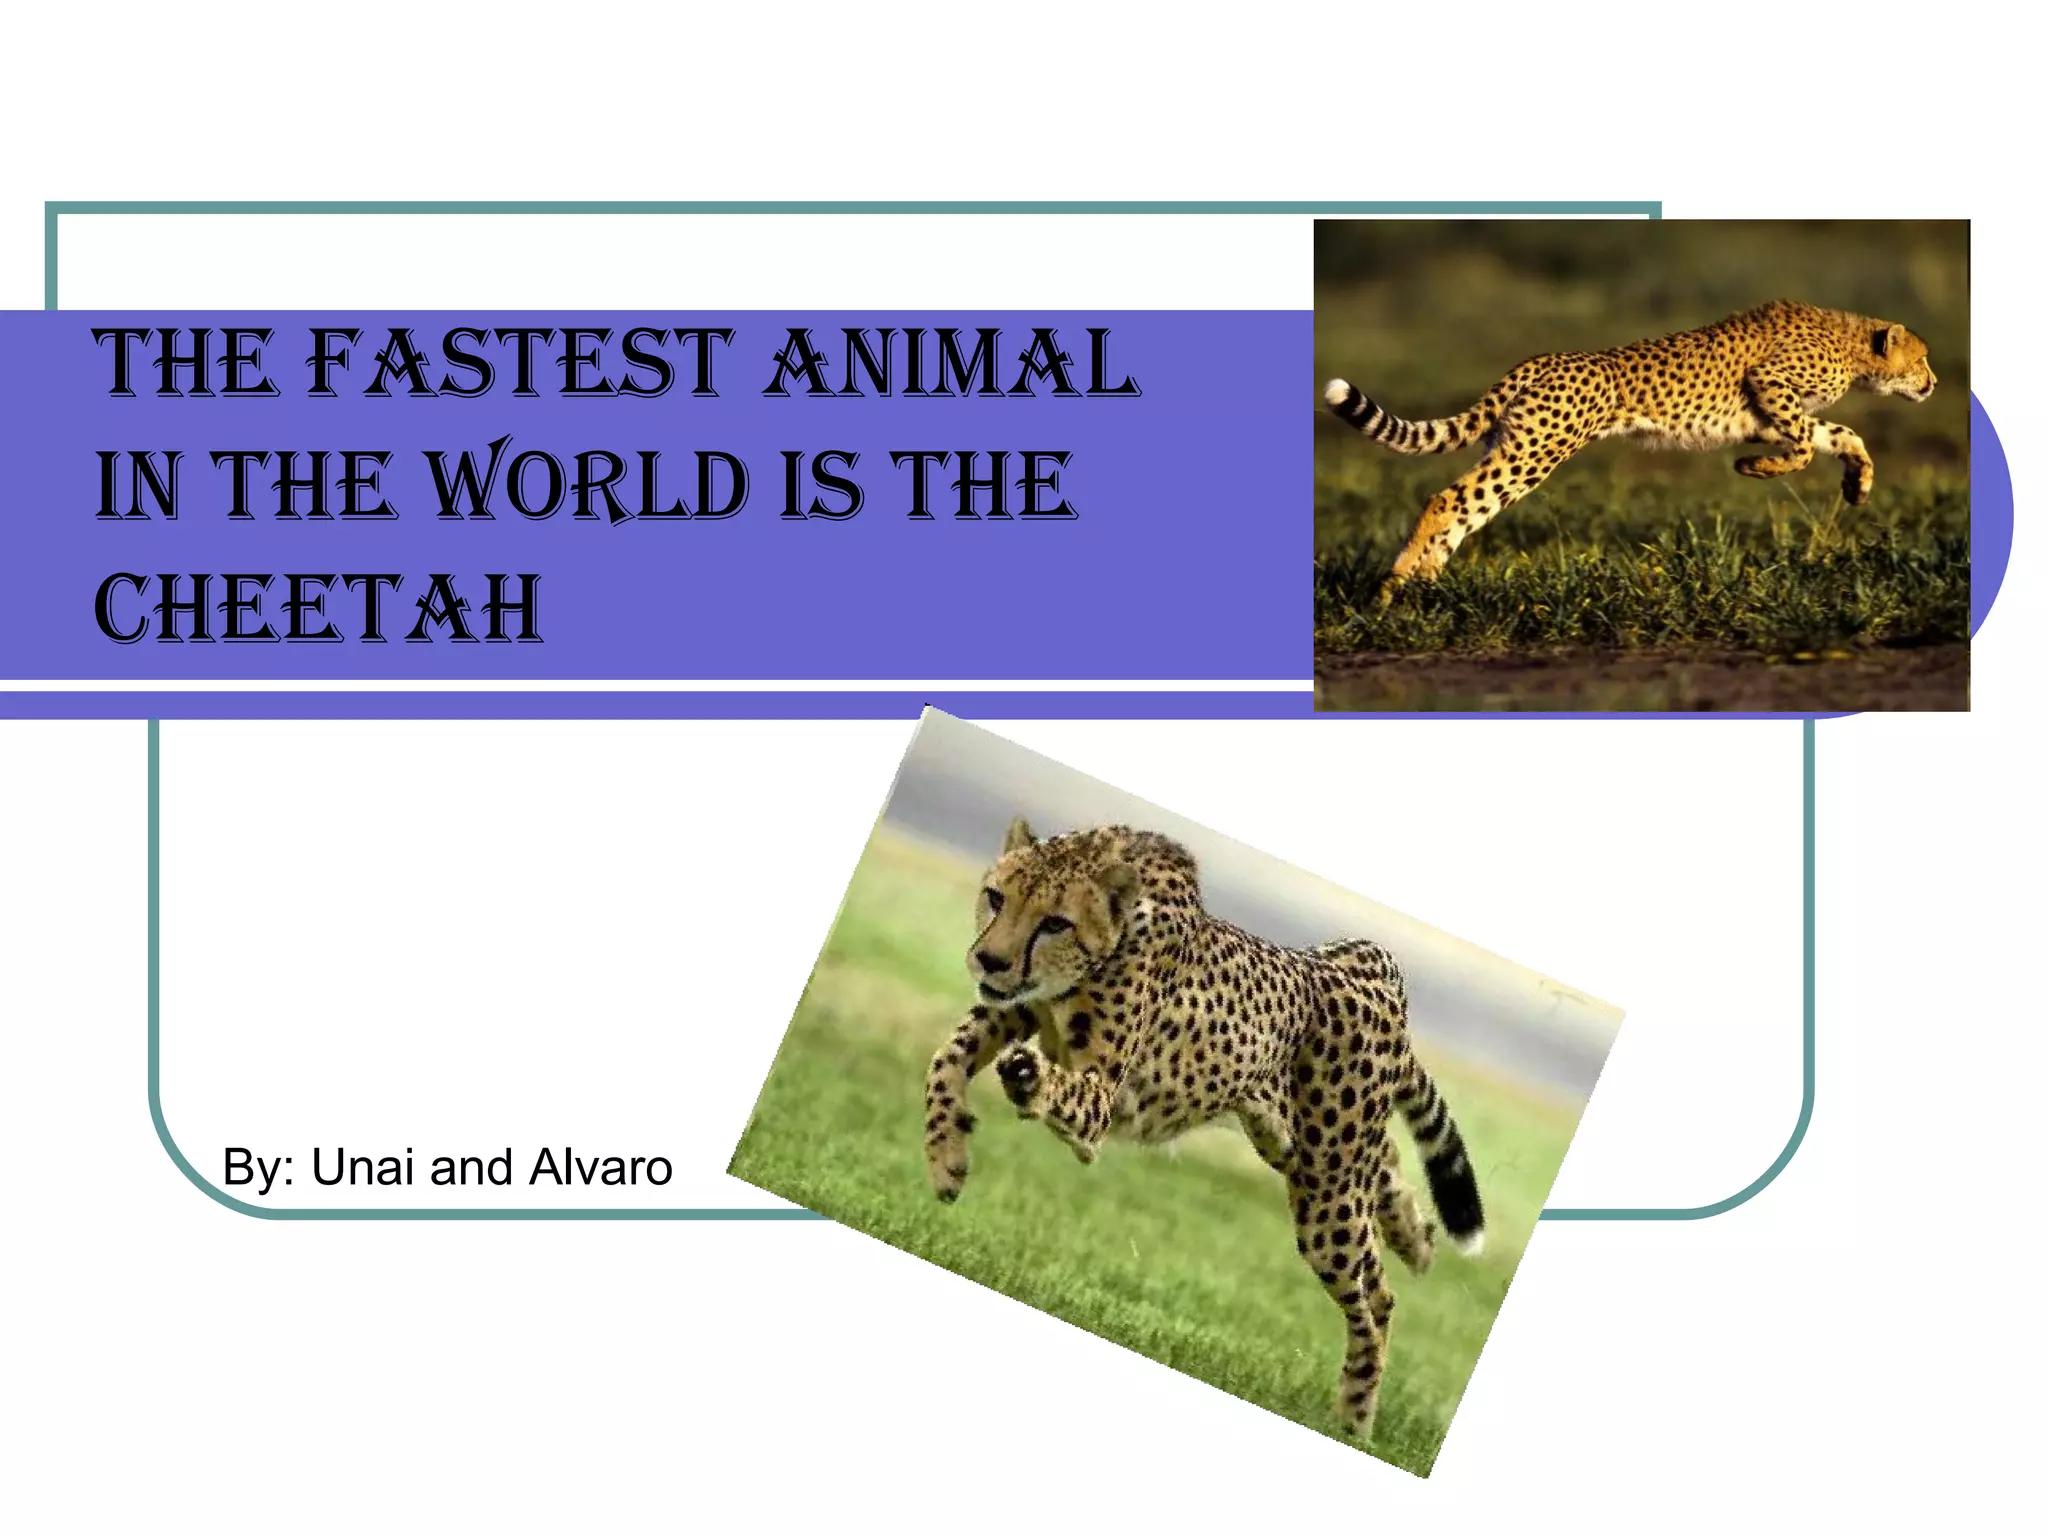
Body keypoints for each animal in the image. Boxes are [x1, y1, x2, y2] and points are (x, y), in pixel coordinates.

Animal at [921, 817, 1484, 1442]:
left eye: (1056, 923)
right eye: (997, 898)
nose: (990, 960)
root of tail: (1367, 964)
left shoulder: (1101, 1098)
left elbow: (1059, 1088)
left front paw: (1025, 1078)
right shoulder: (1007, 1010)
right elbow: (944, 1061)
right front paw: (946, 1159)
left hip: (1328, 1202)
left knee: (1376, 1297)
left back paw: (1356, 1414)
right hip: (1309, 1152)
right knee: (1385, 1181)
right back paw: (1418, 1239)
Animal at [1322, 300, 1940, 605]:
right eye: (1923, 358)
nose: (1933, 384)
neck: (1850, 343)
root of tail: (1543, 358)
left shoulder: (1765, 414)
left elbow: (1838, 435)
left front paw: (1857, 484)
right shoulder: (1770, 387)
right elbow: (1806, 446)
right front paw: (1754, 468)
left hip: (1517, 445)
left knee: (1463, 507)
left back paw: (1423, 586)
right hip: (1535, 452)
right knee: (1447, 500)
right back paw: (1392, 589)